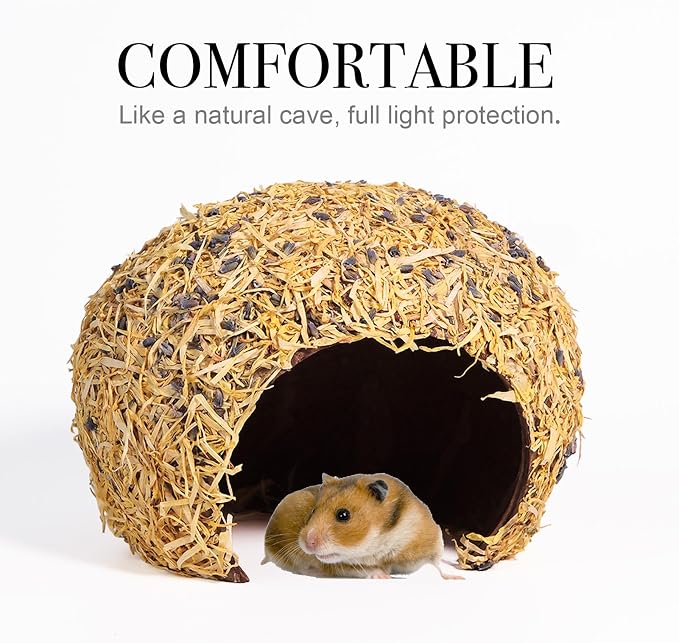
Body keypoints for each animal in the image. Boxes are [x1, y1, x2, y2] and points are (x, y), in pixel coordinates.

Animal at [262, 473, 464, 579]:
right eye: (312, 511)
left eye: (343, 515)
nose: (307, 543)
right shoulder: (341, 567)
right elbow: (368, 569)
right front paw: (387, 576)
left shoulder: (432, 542)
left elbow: (438, 565)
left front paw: (457, 577)